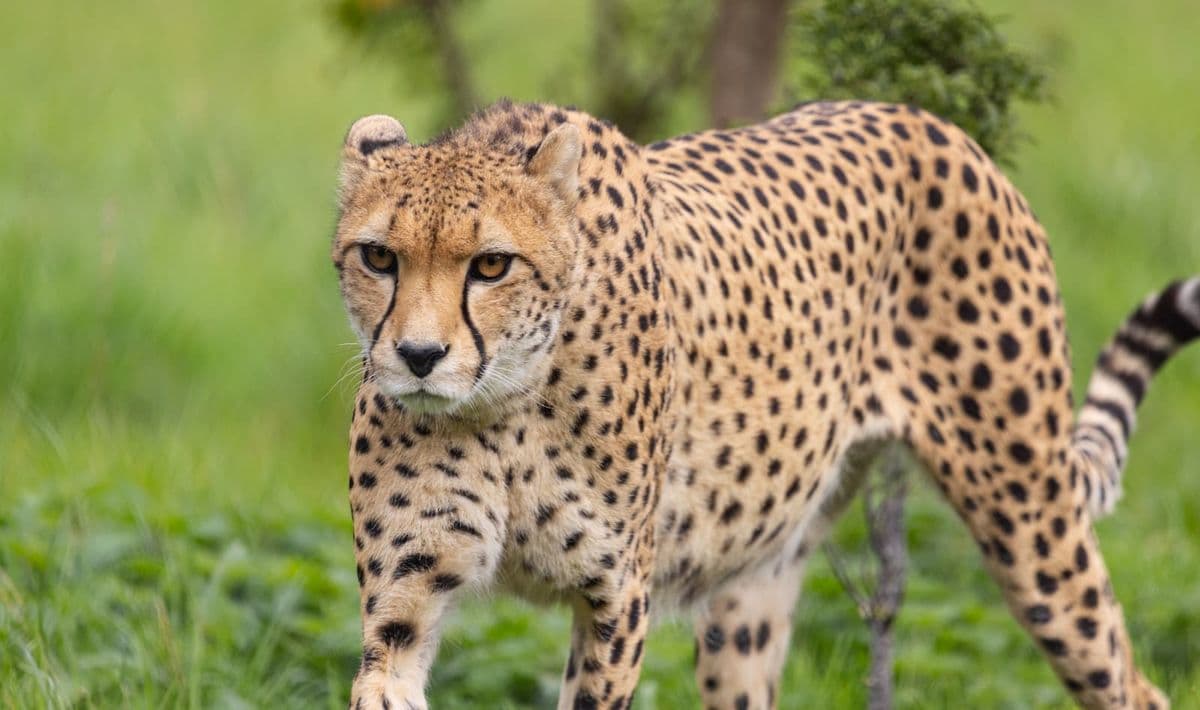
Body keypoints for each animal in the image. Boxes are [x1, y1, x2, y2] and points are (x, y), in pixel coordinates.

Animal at [331, 99, 1198, 710]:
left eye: (491, 265)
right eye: (379, 257)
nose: (417, 357)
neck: (505, 404)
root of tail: (928, 122)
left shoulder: (617, 600)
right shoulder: (406, 595)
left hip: (1032, 525)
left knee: (1132, 682)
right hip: (752, 589)